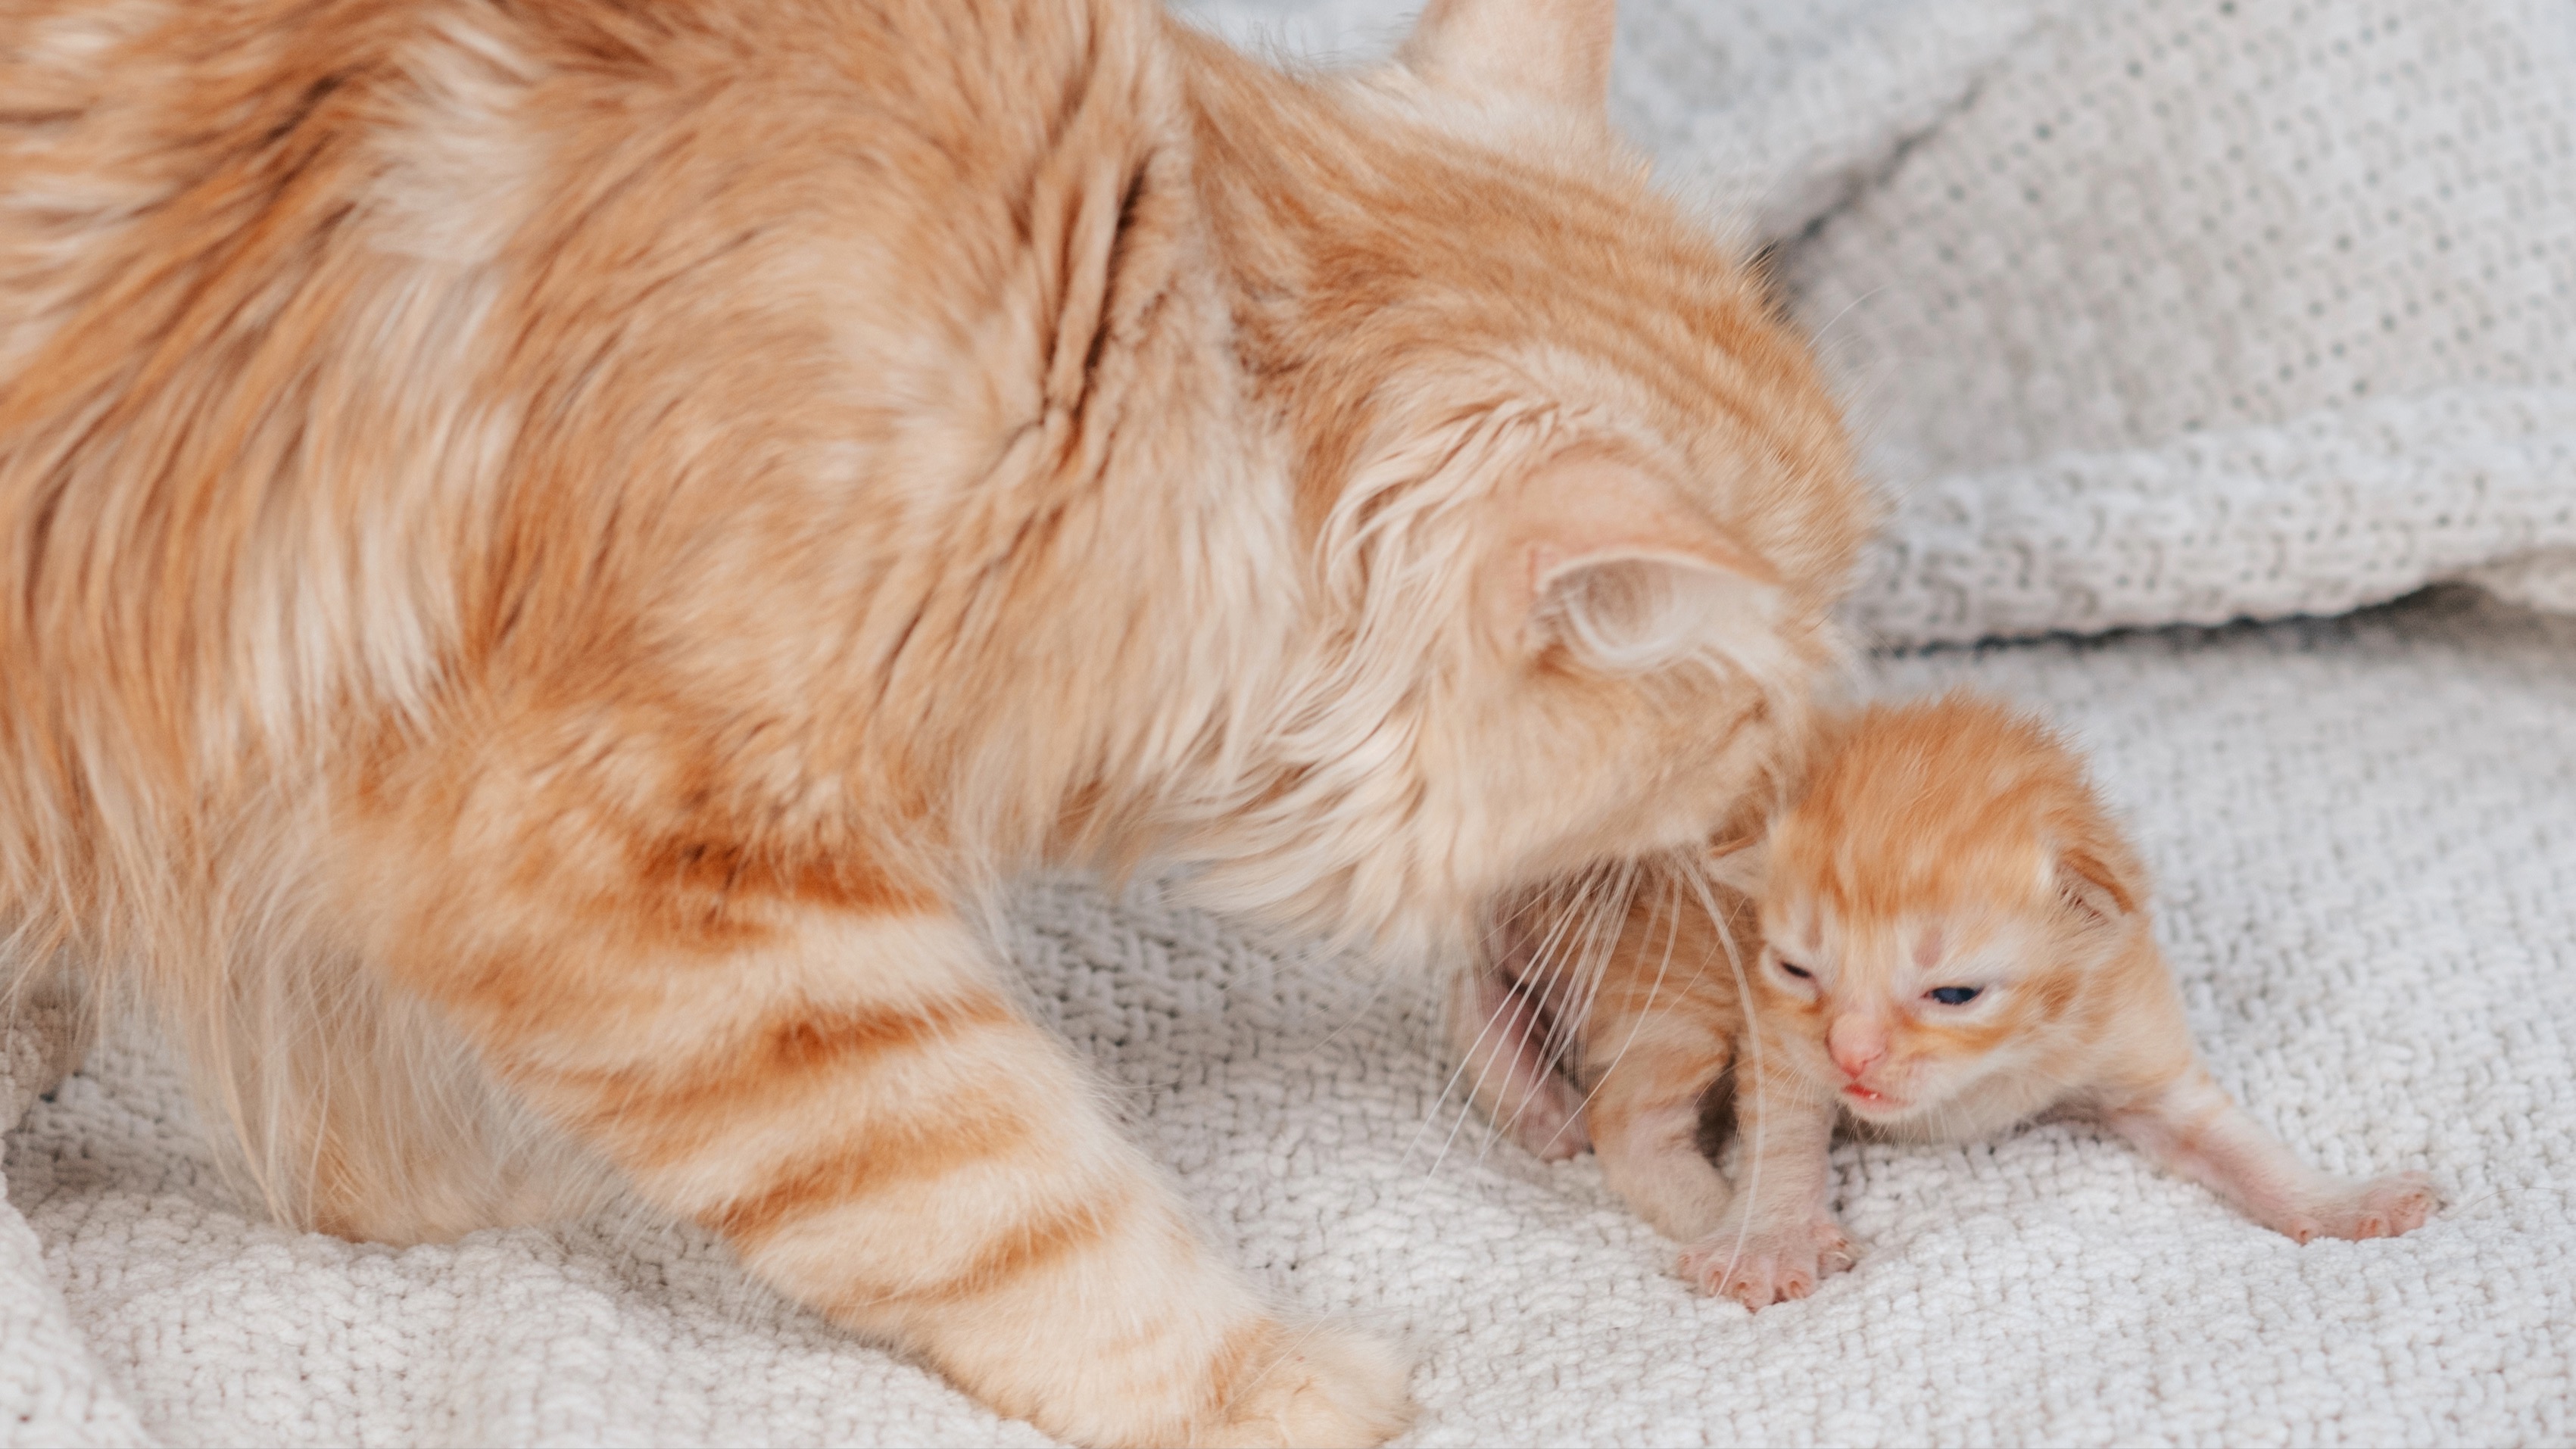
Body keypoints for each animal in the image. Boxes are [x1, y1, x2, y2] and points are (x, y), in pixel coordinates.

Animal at [5, 0, 1875, 1441]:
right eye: (1751, 725)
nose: (1788, 804)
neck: (1103, 358)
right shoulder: (635, 870)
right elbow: (994, 1194)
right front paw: (1261, 1384)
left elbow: (344, 1070)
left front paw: (442, 1183)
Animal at [1473, 690, 2431, 1317]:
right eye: (1797, 969)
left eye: (1955, 994)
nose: (1853, 1053)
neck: (1999, 1066)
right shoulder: (1776, 1032)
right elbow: (1782, 1134)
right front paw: (1769, 1235)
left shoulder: (2133, 1030)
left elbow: (2235, 1144)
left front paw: (2342, 1202)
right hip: (1671, 987)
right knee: (1626, 1124)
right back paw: (1721, 1215)